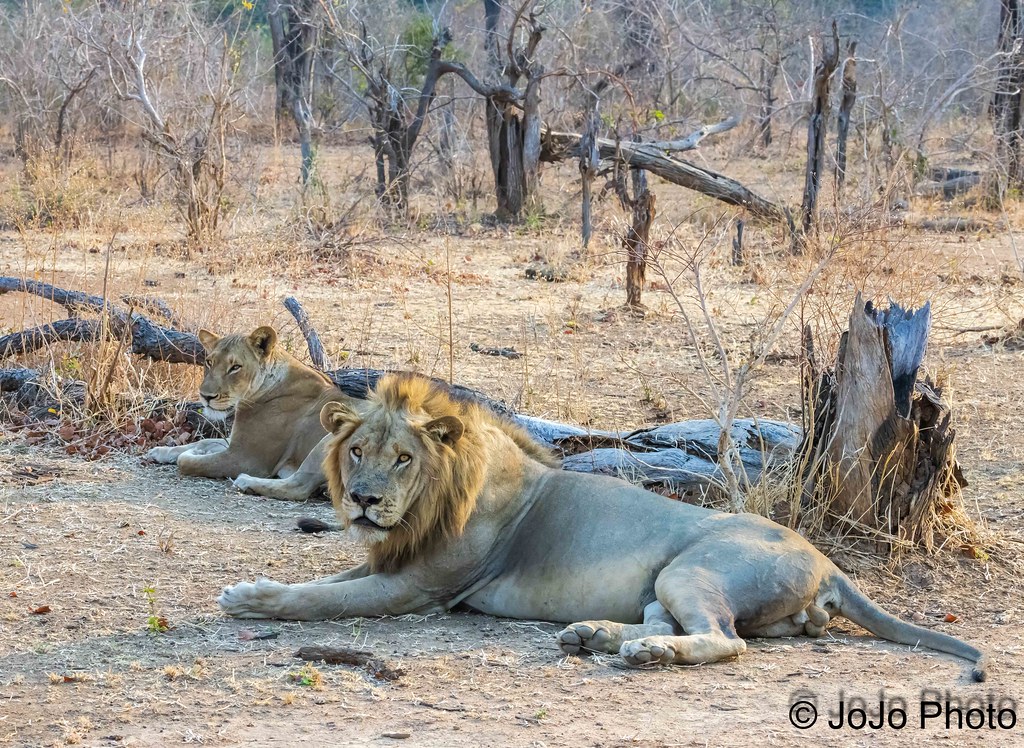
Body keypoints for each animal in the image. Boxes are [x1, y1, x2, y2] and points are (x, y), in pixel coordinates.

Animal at [147, 325, 351, 501]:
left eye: (235, 367)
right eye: (209, 362)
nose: (206, 396)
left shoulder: (246, 458)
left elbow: (188, 461)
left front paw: (193, 453)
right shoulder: (236, 442)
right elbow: (203, 441)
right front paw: (161, 451)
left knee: (299, 486)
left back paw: (246, 482)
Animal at [217, 373, 988, 681]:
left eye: (402, 458)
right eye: (358, 452)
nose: (364, 501)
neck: (436, 499)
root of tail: (830, 564)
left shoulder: (421, 587)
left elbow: (322, 597)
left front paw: (248, 598)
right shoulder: (393, 561)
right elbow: (332, 577)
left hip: (692, 568)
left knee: (724, 640)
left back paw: (644, 654)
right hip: (665, 582)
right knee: (669, 622)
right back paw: (596, 637)